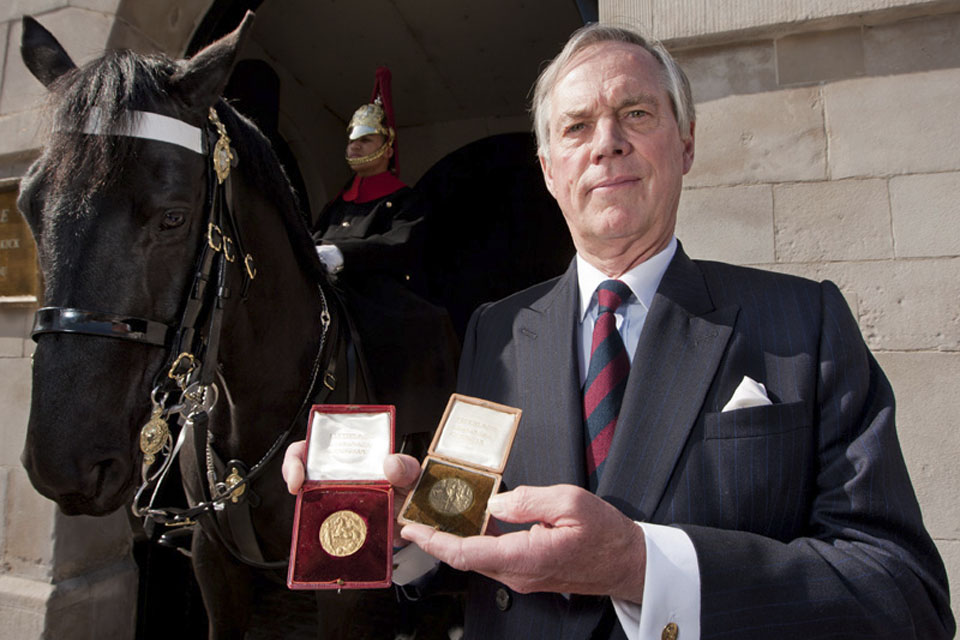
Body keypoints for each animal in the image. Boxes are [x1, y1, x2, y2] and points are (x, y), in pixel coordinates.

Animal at [17, 11, 458, 640]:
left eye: (174, 216)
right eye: (29, 204)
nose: (63, 465)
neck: (249, 403)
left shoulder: (344, 588)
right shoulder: (213, 559)